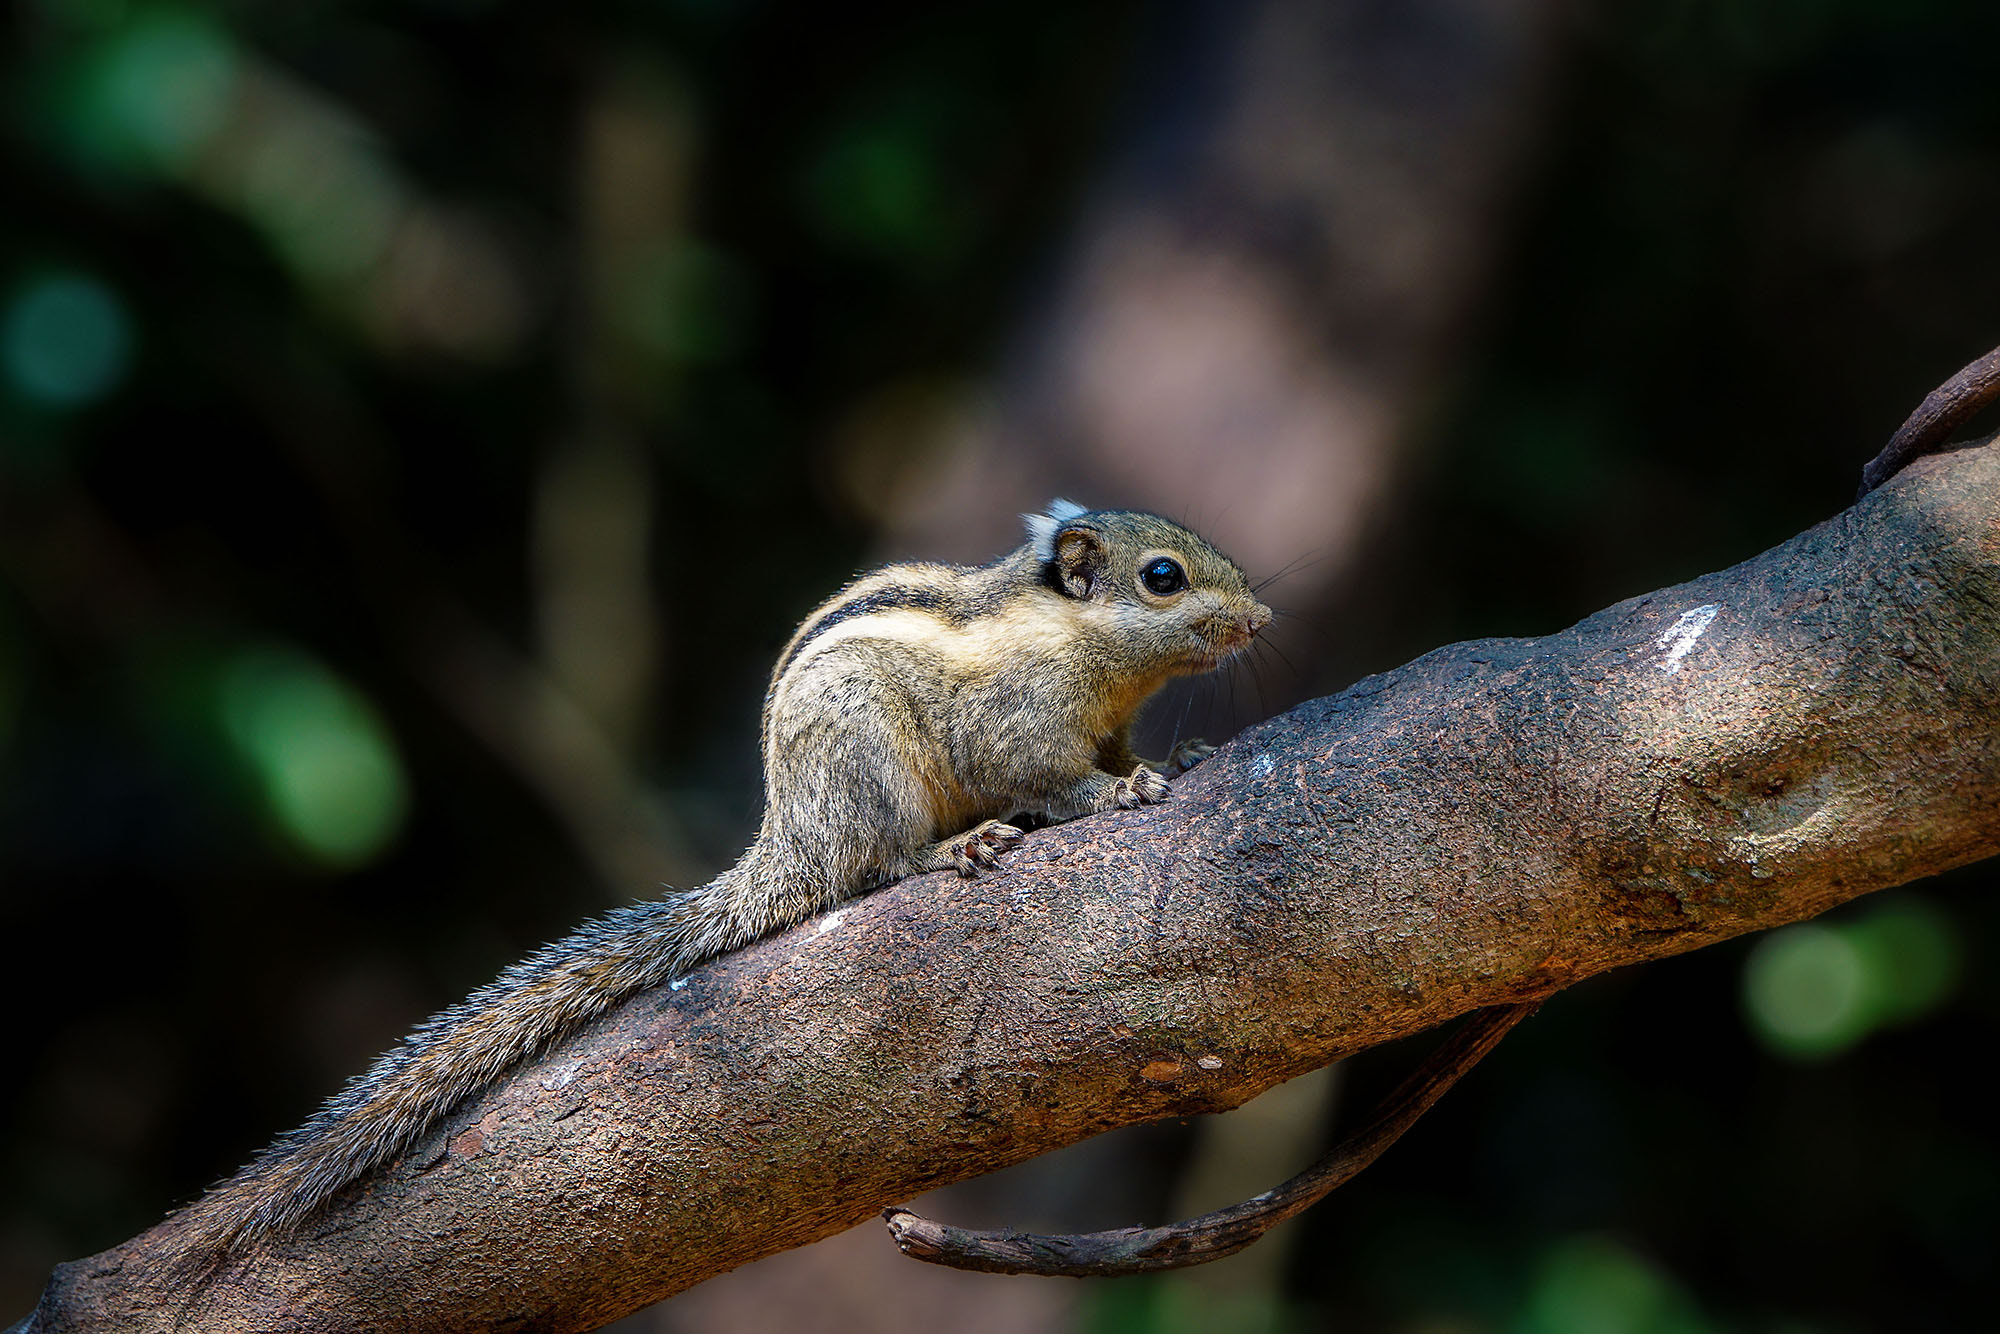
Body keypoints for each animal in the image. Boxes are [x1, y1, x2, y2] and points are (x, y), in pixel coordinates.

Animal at [172, 498, 1264, 1264]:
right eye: (1162, 577)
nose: (1260, 618)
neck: (1071, 638)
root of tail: (787, 839)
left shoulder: (1105, 719)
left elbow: (1121, 749)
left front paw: (1181, 750)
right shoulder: (1017, 729)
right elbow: (1050, 780)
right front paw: (1115, 794)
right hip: (866, 770)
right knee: (868, 865)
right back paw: (945, 851)